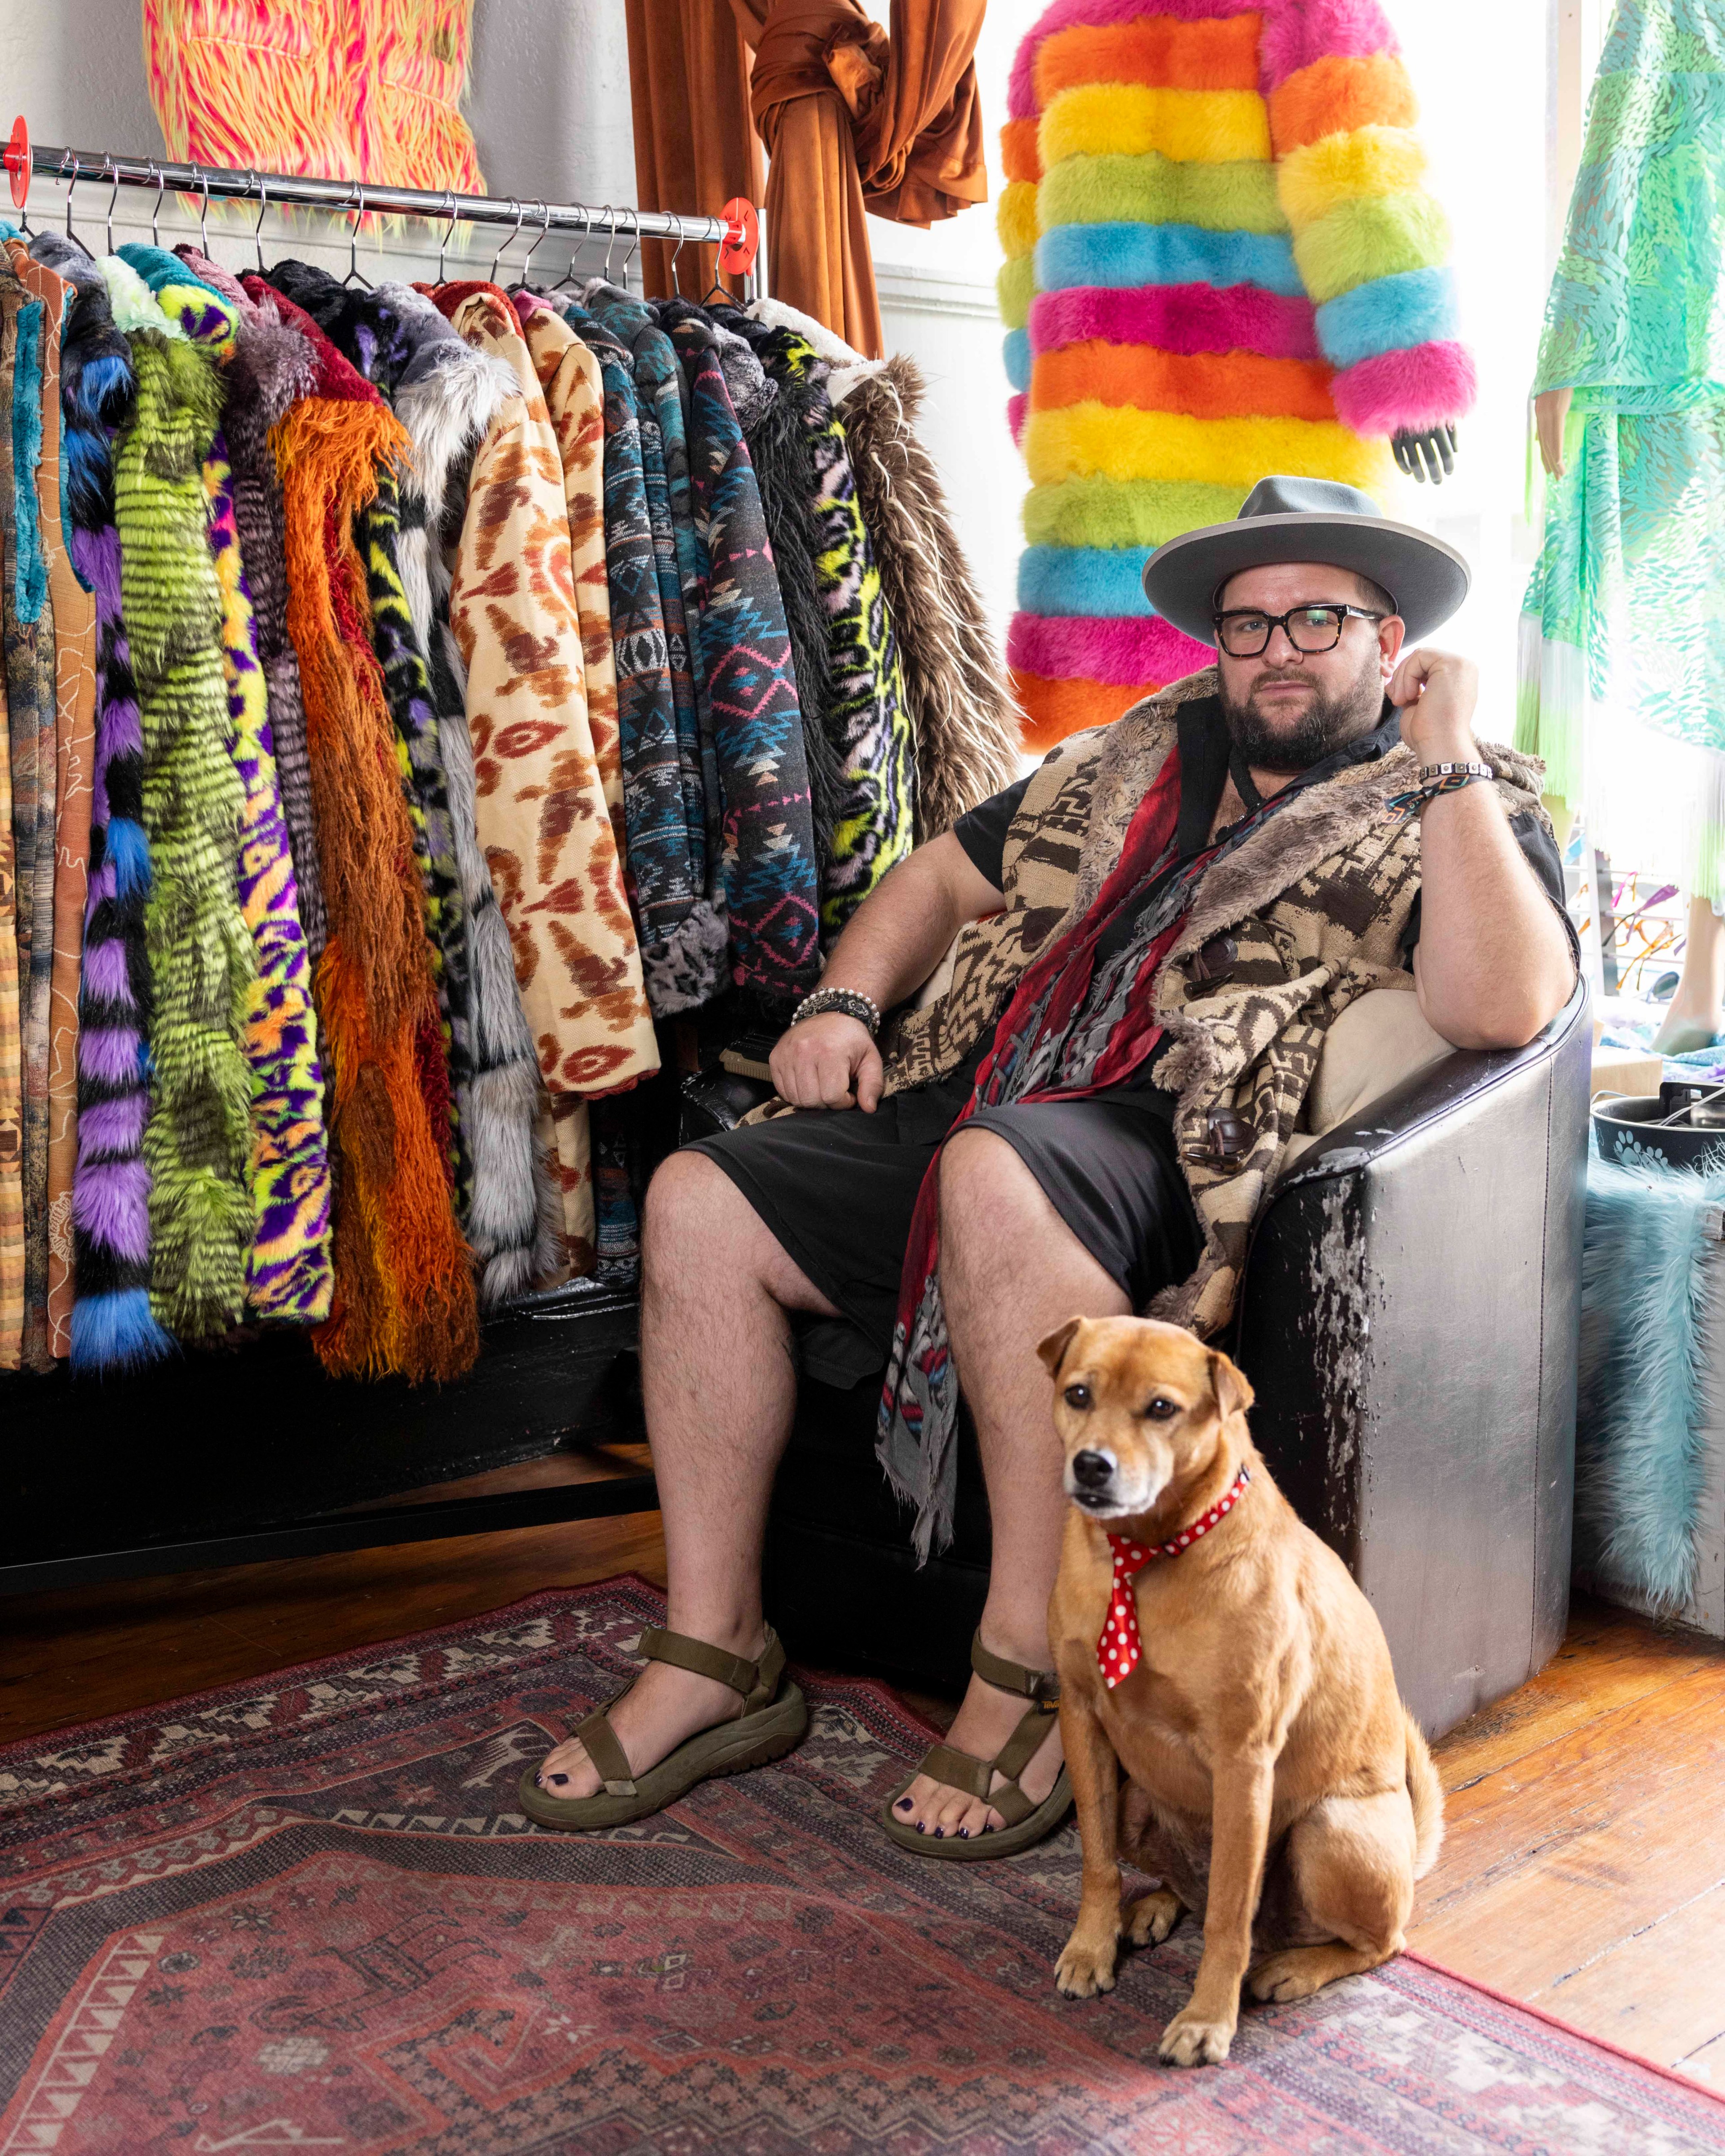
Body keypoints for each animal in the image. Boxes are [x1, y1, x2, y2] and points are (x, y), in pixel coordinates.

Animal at [1039, 1310, 1440, 2070]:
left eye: (1161, 1408)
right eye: (1078, 1393)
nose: (1092, 1465)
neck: (1147, 1553)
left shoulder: (1243, 1759)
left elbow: (1230, 1917)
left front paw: (1206, 2019)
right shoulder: (1082, 1718)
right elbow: (1096, 1860)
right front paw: (1091, 1946)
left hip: (1329, 1830)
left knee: (1378, 1941)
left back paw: (1292, 1968)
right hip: (1140, 1799)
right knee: (1188, 1889)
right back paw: (1153, 1908)